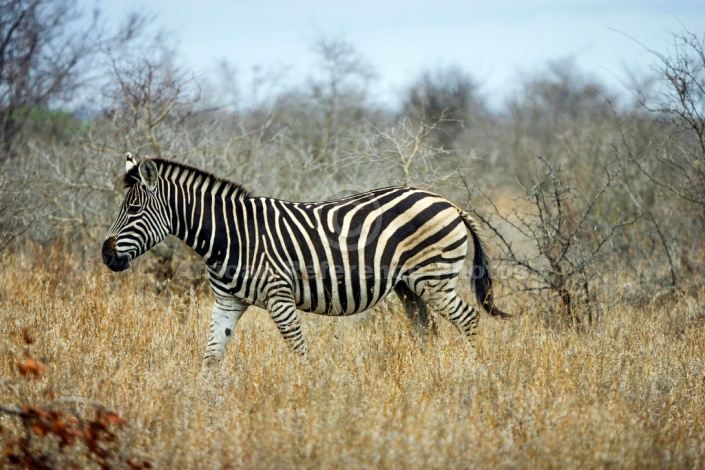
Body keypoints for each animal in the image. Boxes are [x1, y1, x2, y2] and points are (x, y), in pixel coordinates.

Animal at [102, 154, 508, 368]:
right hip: (409, 286)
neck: (230, 236)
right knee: (427, 331)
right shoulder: (227, 302)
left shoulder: (279, 298)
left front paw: (306, 397)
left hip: (434, 278)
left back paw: (476, 374)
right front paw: (201, 405)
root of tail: (446, 200)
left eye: (133, 210)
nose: (106, 255)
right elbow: (211, 356)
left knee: (468, 319)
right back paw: (426, 376)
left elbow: (299, 353)